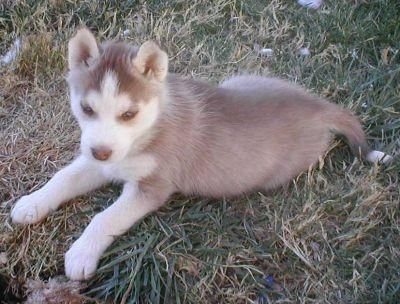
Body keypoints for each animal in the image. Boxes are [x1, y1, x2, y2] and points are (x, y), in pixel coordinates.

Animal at [10, 28, 392, 280]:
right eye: (87, 109)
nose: (101, 151)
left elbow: (105, 217)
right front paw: (32, 203)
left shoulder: (151, 187)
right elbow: (64, 177)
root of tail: (319, 106)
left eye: (128, 114)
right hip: (238, 80)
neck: (150, 128)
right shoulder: (102, 161)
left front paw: (81, 253)